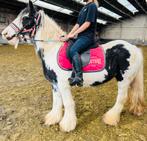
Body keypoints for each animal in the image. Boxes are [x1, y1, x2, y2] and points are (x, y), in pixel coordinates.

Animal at [1, 0, 145, 132]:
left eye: (25, 18)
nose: (5, 33)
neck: (52, 48)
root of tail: (134, 48)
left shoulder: (63, 83)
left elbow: (68, 103)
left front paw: (67, 125)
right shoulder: (54, 83)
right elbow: (57, 101)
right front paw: (53, 118)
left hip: (123, 79)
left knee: (122, 98)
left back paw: (110, 118)